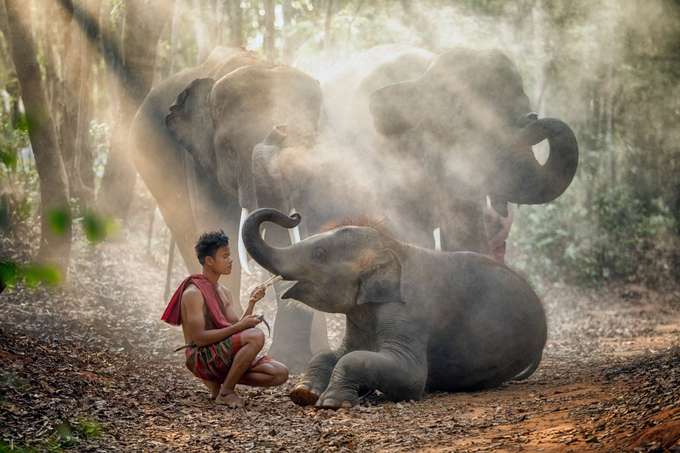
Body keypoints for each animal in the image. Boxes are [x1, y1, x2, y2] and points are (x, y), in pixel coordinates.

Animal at [130, 47, 328, 371]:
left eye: (309, 144)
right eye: (231, 150)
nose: (280, 128)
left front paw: (295, 360)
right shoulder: (197, 161)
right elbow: (216, 223)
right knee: (185, 229)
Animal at [242, 208, 547, 409]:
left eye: (319, 254)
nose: (294, 215)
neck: (393, 246)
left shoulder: (407, 312)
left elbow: (407, 375)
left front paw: (332, 403)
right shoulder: (360, 314)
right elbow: (335, 353)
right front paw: (303, 394)